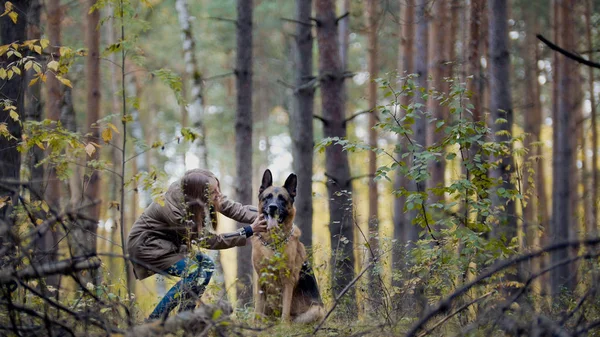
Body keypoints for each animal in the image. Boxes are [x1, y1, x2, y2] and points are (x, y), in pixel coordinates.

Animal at [251, 169, 326, 322]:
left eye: (282, 199)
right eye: (267, 197)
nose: (273, 208)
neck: (271, 243)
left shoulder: (287, 280)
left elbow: (285, 311)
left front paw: (284, 325)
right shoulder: (261, 279)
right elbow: (257, 311)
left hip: (317, 310)